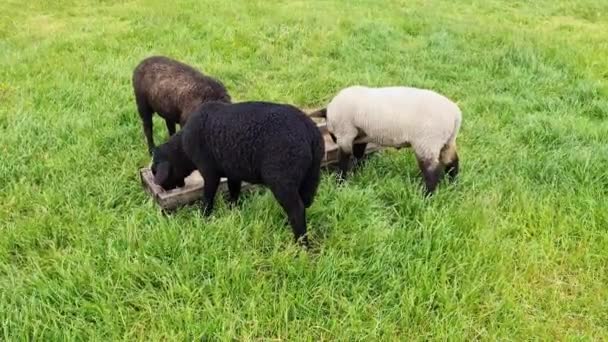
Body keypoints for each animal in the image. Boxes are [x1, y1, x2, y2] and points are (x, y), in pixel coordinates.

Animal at [150, 101, 326, 246]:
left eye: (154, 170)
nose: (164, 189)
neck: (183, 149)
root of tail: (310, 132)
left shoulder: (209, 171)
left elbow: (208, 196)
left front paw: (203, 217)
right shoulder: (233, 171)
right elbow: (233, 191)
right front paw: (232, 212)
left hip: (282, 178)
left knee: (297, 209)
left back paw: (300, 245)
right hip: (311, 175)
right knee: (304, 203)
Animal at [314, 85, 460, 195]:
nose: (333, 139)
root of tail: (455, 114)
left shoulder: (345, 134)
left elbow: (344, 160)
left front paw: (340, 182)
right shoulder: (360, 137)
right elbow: (358, 154)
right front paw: (358, 171)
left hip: (427, 142)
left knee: (432, 171)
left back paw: (426, 196)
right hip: (447, 141)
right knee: (452, 161)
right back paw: (453, 183)